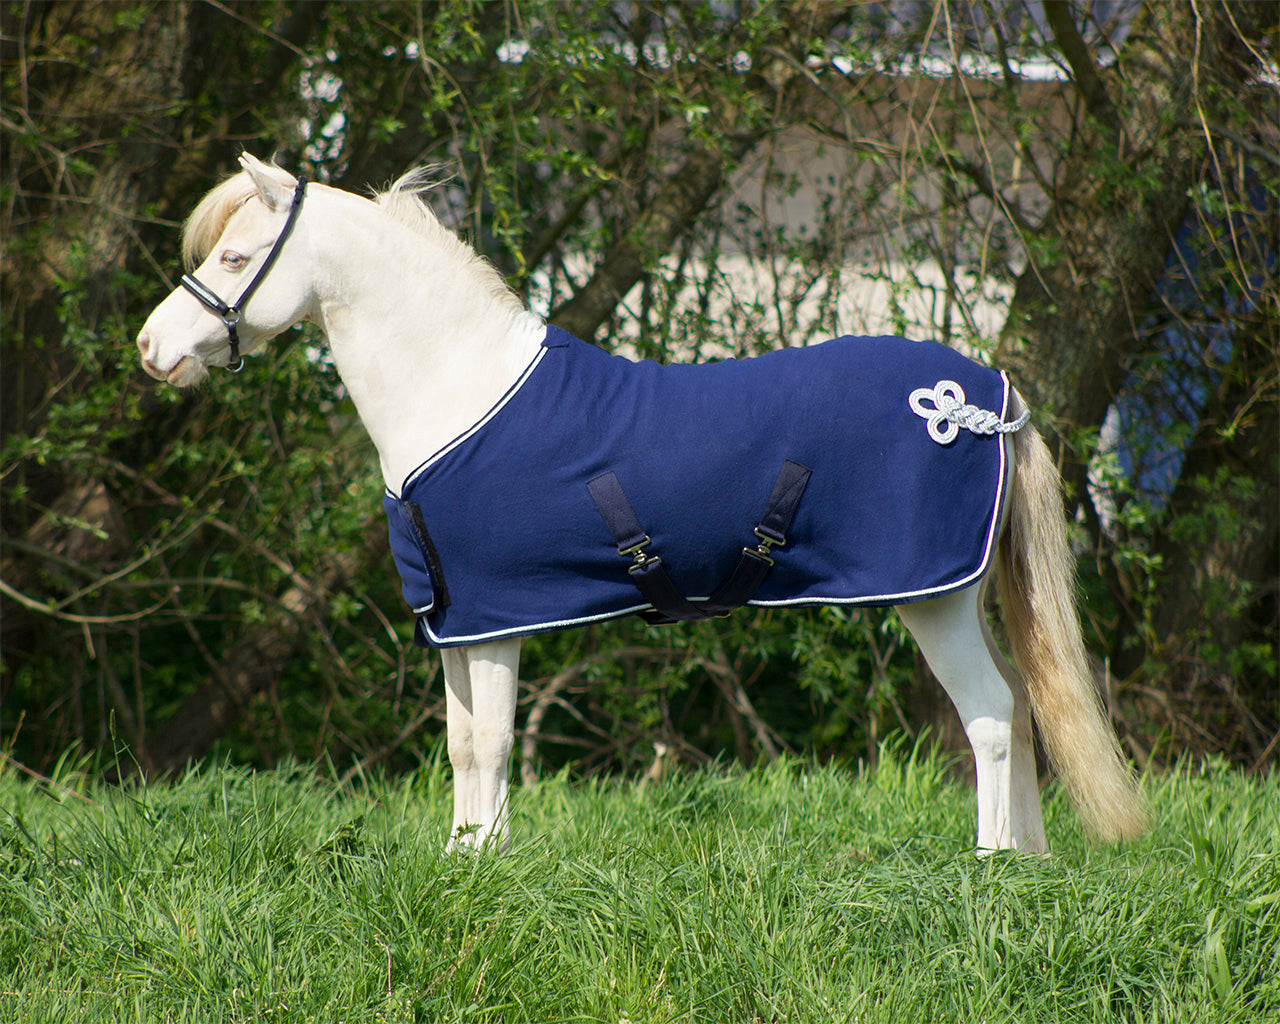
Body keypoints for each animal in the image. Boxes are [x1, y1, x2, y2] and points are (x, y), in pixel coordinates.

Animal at [137, 154, 1147, 854]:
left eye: (235, 255)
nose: (153, 350)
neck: (460, 390)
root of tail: (988, 401)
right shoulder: (457, 623)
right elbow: (461, 745)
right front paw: (459, 861)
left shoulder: (499, 621)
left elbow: (491, 744)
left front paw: (488, 870)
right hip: (960, 596)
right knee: (1023, 704)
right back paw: (1032, 863)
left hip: (930, 600)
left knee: (988, 714)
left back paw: (987, 867)